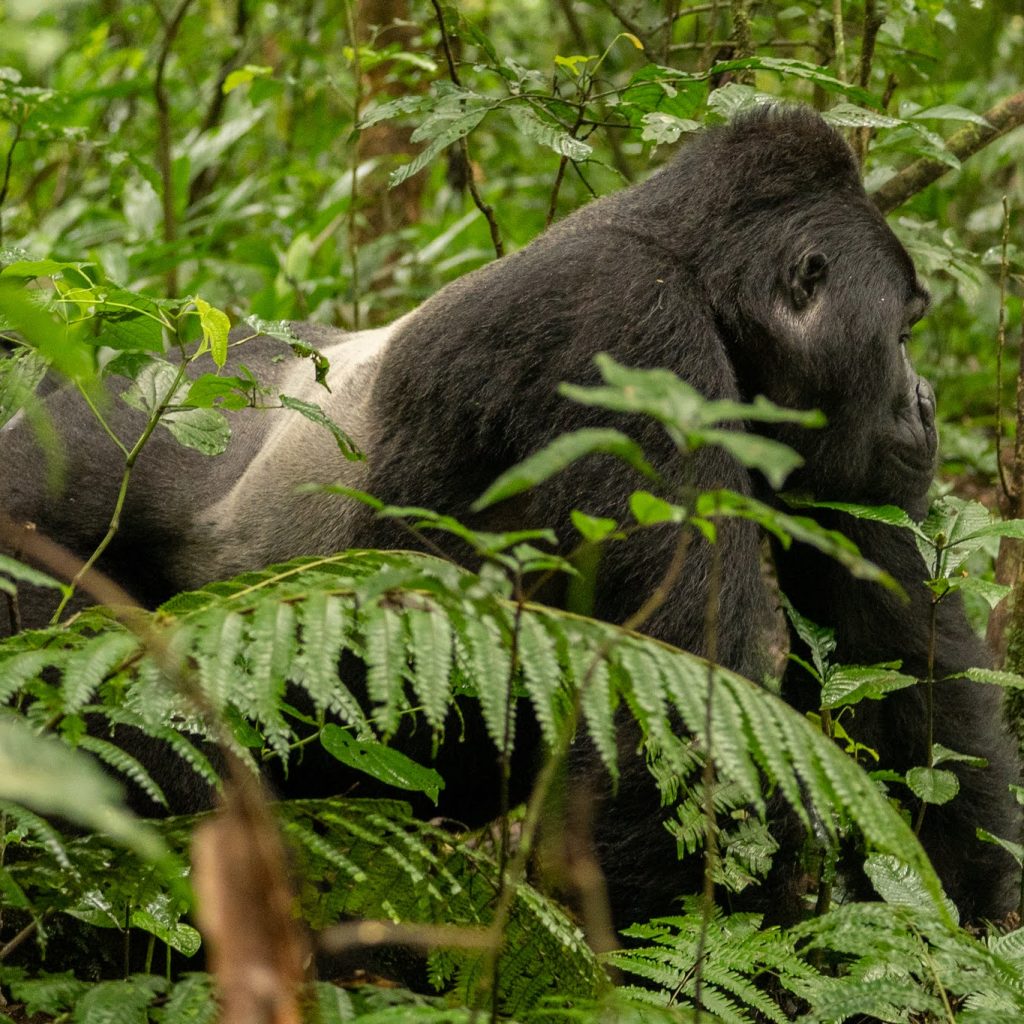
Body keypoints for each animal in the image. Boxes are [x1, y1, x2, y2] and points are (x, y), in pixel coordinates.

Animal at [4, 105, 1019, 929]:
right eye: (903, 333)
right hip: (43, 516)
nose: (924, 403)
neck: (698, 268)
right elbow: (679, 713)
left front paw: (978, 917)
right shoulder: (625, 329)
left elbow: (899, 656)